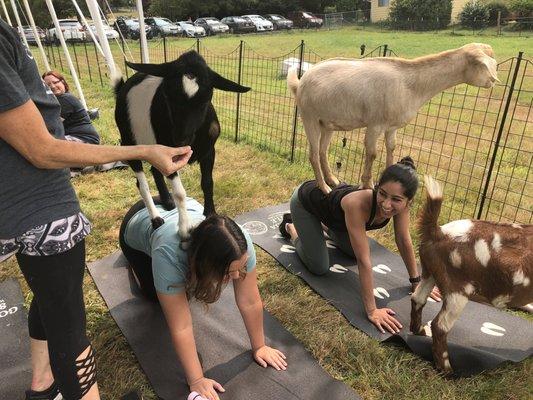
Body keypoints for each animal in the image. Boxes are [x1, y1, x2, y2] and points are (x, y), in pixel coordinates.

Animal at [114, 49, 249, 238]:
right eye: (167, 96)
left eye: (205, 100)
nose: (179, 140)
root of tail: (122, 87)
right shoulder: (169, 153)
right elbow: (179, 193)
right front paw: (185, 228)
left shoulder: (209, 150)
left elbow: (208, 182)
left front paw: (211, 213)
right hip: (129, 141)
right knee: (141, 183)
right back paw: (156, 219)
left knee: (154, 170)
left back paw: (167, 201)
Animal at [286, 43, 498, 193]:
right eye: (480, 64)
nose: (491, 82)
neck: (410, 84)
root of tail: (300, 82)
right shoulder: (375, 124)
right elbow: (372, 153)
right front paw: (368, 184)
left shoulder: (392, 126)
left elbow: (391, 148)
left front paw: (393, 178)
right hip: (309, 117)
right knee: (313, 154)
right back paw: (324, 187)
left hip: (327, 124)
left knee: (323, 151)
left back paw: (332, 180)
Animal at [410, 177, 528, 374]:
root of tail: (438, 232)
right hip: (458, 289)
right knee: (440, 325)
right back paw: (447, 370)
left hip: (430, 272)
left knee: (417, 298)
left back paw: (419, 331)